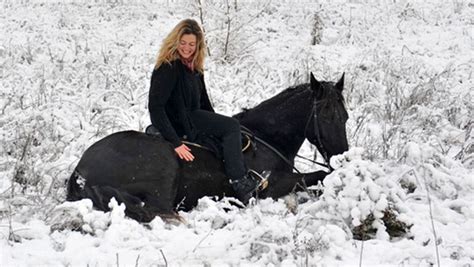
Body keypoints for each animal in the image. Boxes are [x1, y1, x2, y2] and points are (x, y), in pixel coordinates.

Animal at [66, 73, 348, 222]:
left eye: (345, 116)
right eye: (326, 117)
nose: (344, 157)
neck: (266, 137)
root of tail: (81, 169)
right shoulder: (271, 186)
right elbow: (320, 175)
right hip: (165, 169)